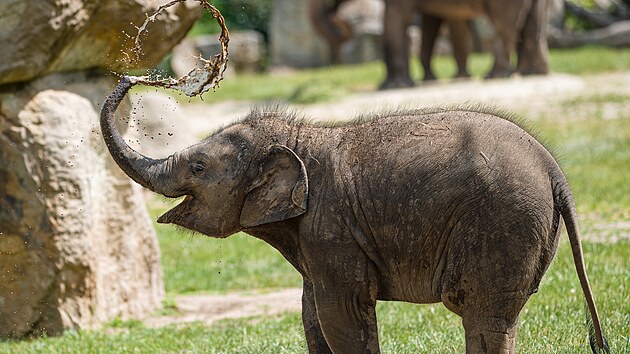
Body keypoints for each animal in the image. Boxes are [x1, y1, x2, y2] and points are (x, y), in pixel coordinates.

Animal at [101, 78, 608, 354]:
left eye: (199, 167)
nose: (135, 79)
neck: (301, 138)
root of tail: (555, 170)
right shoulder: (318, 238)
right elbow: (312, 314)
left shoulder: (331, 227)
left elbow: (339, 312)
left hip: (502, 225)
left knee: (484, 316)